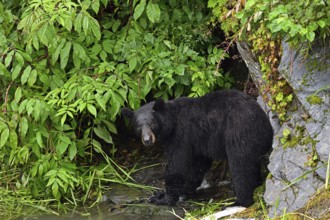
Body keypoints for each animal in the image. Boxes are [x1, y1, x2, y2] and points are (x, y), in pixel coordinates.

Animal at [121, 89, 274, 206]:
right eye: (138, 127)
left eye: (152, 123)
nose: (147, 140)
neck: (172, 122)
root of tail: (266, 127)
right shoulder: (198, 142)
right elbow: (198, 166)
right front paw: (170, 192)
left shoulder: (182, 135)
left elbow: (177, 165)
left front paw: (164, 199)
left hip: (240, 133)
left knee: (240, 166)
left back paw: (240, 201)